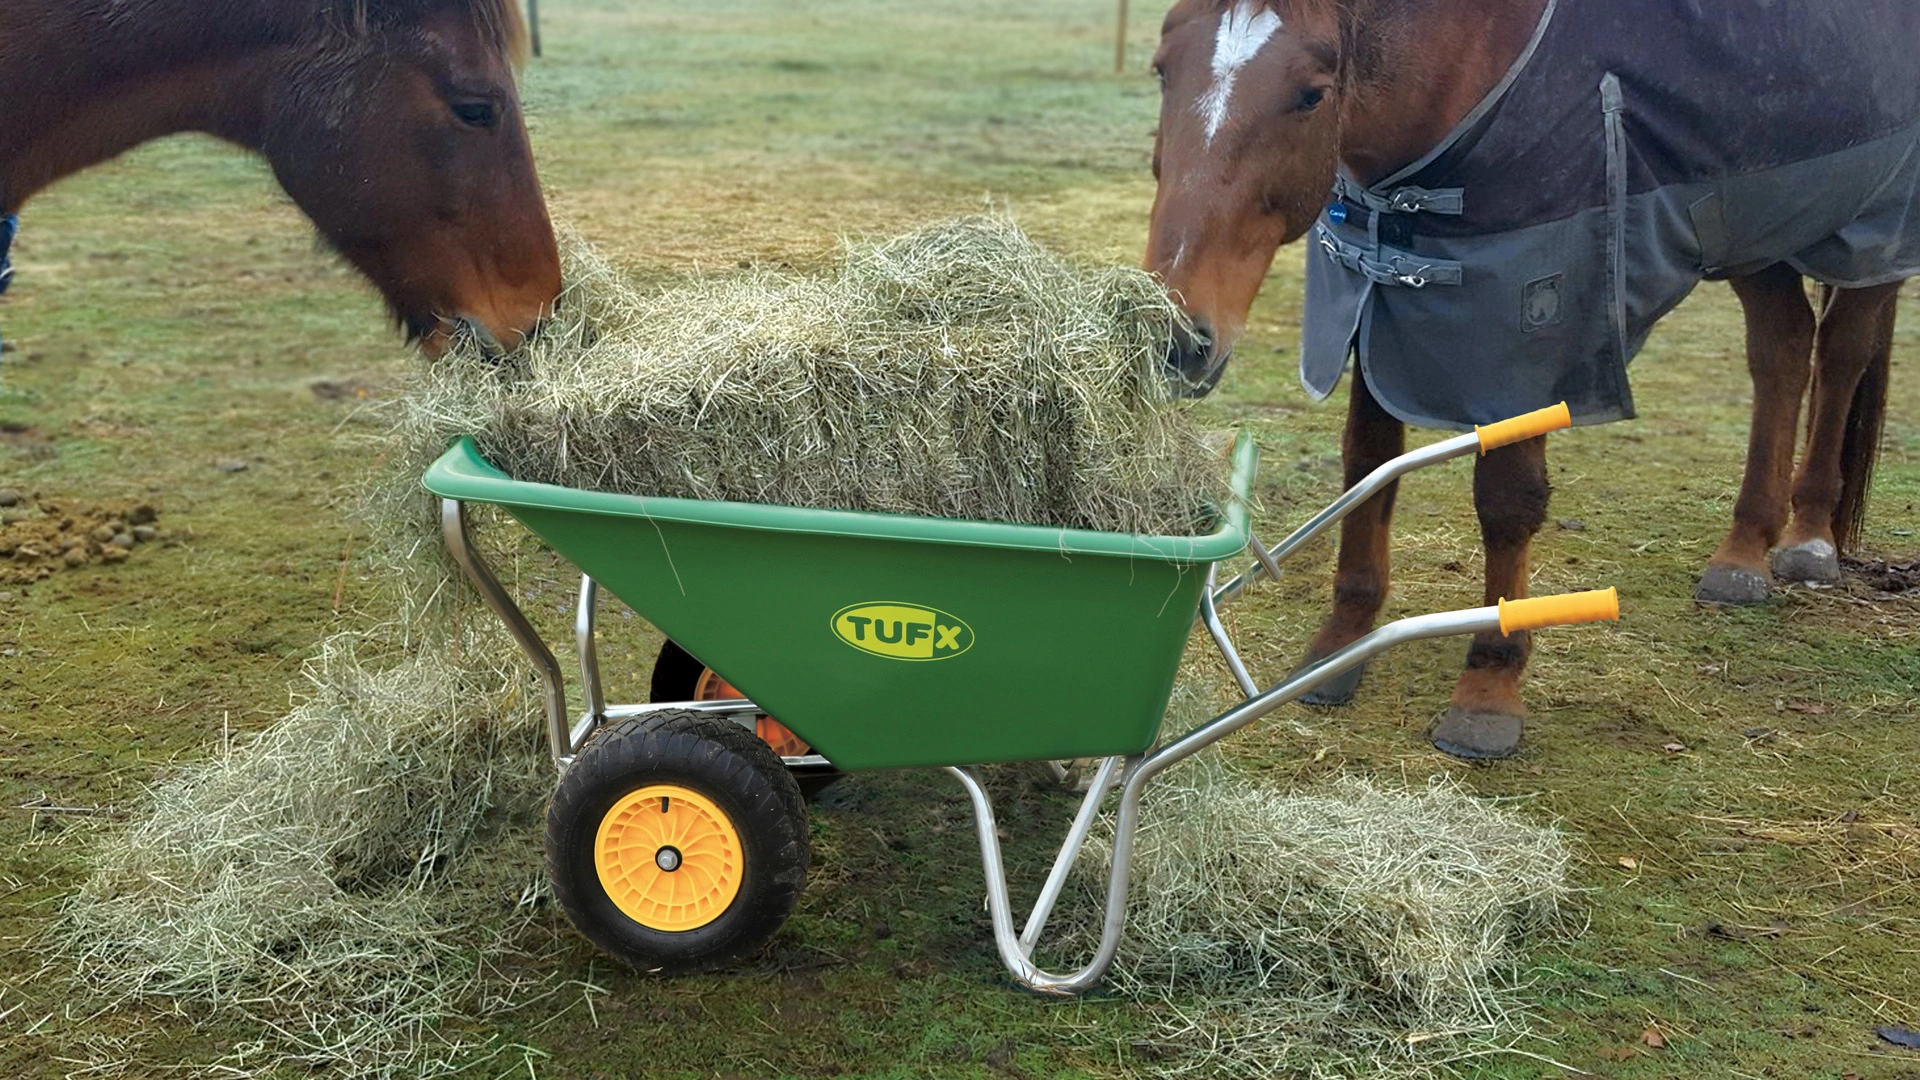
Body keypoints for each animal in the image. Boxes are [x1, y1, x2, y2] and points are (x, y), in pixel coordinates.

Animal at [1144, 0, 1912, 757]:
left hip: (1870, 229)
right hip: (1750, 227)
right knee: (1781, 347)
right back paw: (1745, 550)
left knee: (1841, 352)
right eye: (1161, 68)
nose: (1176, 338)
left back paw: (1808, 536)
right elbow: (1369, 462)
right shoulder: (1376, 298)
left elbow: (1507, 500)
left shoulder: (1527, 337)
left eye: (1311, 95)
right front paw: (1340, 644)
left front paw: (1489, 684)